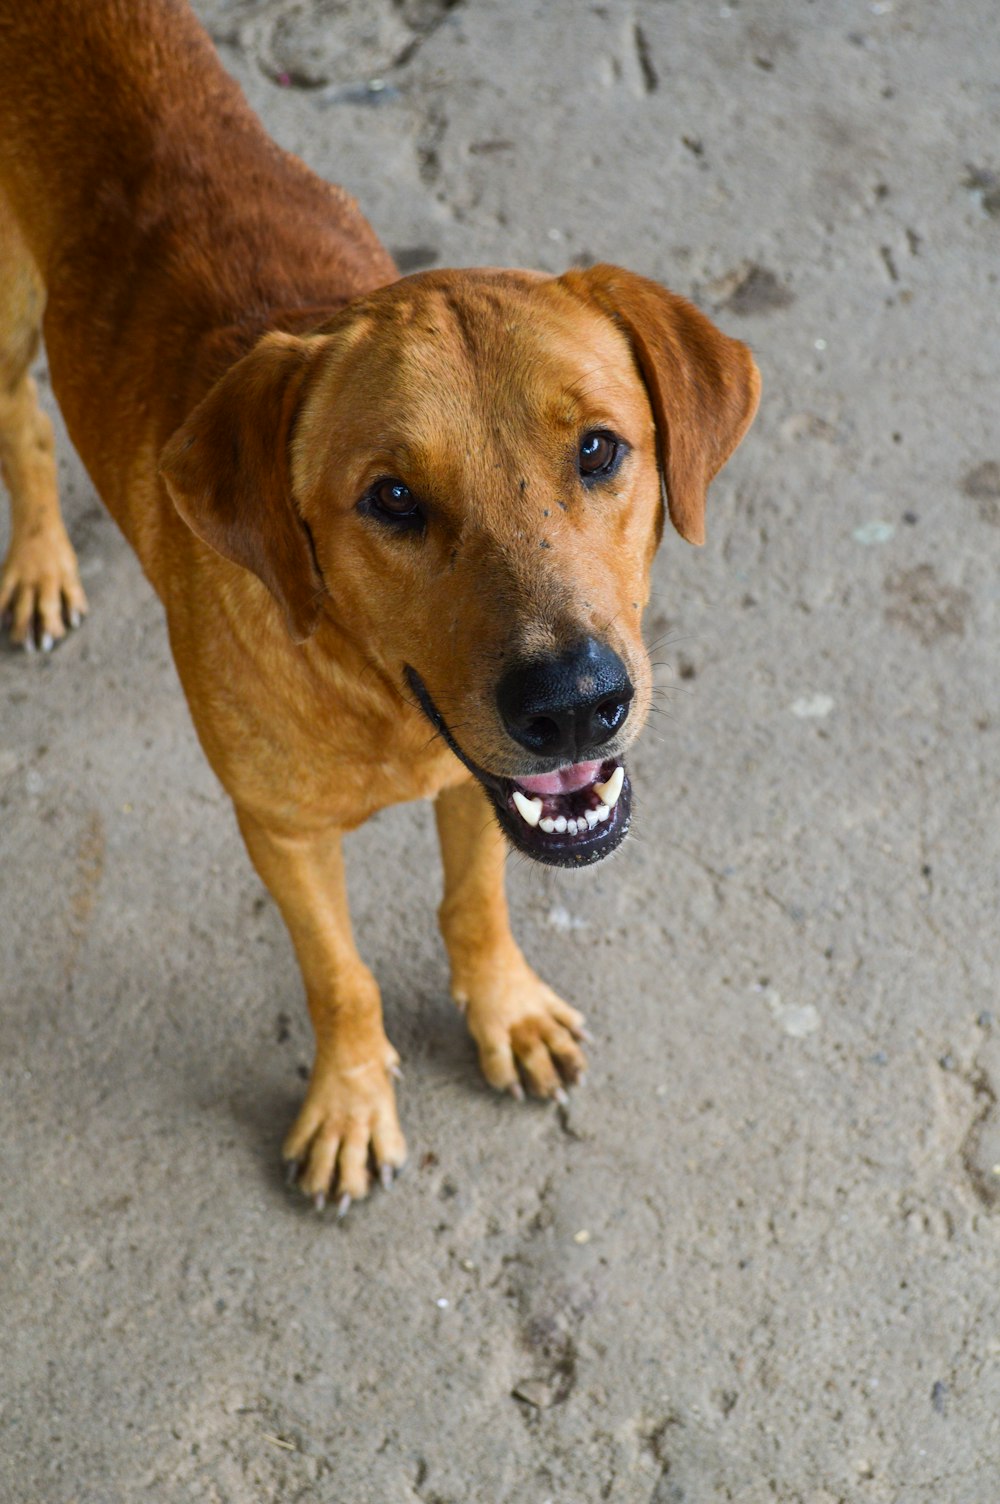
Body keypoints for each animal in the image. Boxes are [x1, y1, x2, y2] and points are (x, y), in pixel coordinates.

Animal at [0, 0, 757, 1215]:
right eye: (391, 499)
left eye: (599, 449)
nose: (574, 705)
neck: (377, 697)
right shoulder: (282, 830)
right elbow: (340, 976)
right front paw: (351, 1101)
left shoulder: (482, 785)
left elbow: (476, 906)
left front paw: (504, 1011)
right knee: (19, 423)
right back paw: (38, 558)